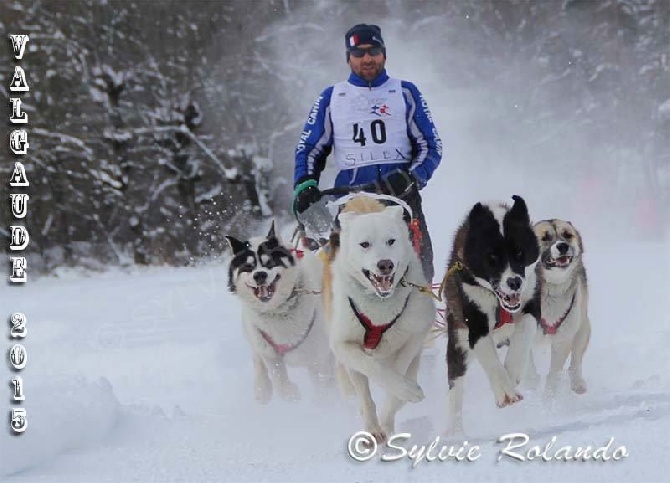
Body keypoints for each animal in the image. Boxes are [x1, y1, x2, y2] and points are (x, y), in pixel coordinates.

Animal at [226, 223, 334, 404]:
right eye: (248, 267)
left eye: (269, 262)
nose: (259, 275)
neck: (278, 311)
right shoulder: (268, 350)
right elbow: (278, 379)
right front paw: (290, 393)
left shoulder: (318, 357)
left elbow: (323, 386)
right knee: (257, 359)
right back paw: (262, 390)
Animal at [326, 195, 436, 444]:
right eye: (364, 244)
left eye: (391, 241)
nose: (385, 264)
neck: (379, 307)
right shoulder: (344, 345)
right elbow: (372, 370)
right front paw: (373, 428)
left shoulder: (414, 336)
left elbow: (396, 379)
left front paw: (389, 416)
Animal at [444, 197, 544, 434]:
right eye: (492, 258)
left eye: (519, 253)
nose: (514, 282)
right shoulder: (475, 325)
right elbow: (489, 358)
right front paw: (505, 391)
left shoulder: (532, 302)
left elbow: (525, 329)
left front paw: (512, 370)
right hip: (458, 344)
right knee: (456, 389)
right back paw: (453, 432)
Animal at [532, 219, 592, 398]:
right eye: (545, 237)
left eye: (567, 235)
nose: (563, 246)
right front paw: (530, 382)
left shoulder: (563, 339)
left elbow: (553, 374)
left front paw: (548, 399)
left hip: (582, 328)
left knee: (575, 361)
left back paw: (577, 383)